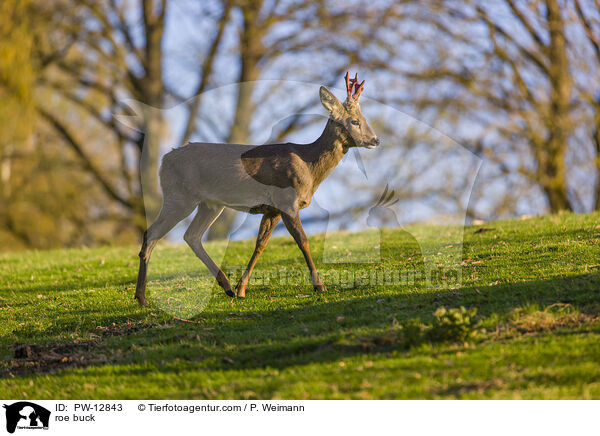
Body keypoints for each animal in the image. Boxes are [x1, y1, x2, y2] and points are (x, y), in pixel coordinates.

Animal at [136, 71, 380, 304]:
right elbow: (303, 240)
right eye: (355, 121)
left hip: (210, 204)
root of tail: (164, 160)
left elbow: (260, 244)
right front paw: (320, 286)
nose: (376, 140)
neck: (309, 166)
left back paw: (226, 287)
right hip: (179, 196)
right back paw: (142, 298)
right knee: (152, 234)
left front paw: (241, 289)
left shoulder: (272, 209)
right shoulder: (287, 202)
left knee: (191, 236)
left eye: (364, 118)